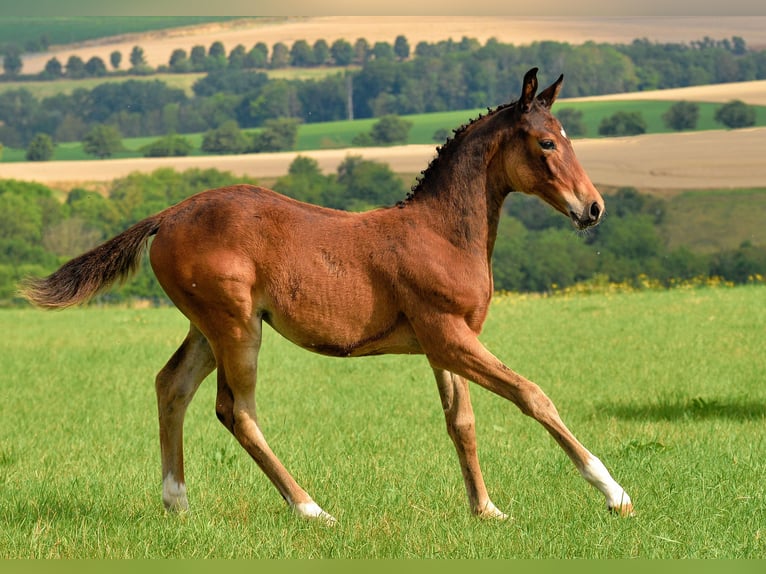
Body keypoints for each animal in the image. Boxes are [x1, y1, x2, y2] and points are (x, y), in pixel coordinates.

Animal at [20, 68, 632, 524]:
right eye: (546, 142)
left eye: (569, 138)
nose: (594, 207)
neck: (441, 232)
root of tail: (168, 215)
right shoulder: (447, 335)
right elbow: (533, 395)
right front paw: (614, 493)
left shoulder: (447, 343)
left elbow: (462, 422)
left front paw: (486, 510)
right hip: (237, 327)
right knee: (236, 411)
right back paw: (311, 509)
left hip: (206, 327)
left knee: (172, 386)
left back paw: (178, 503)